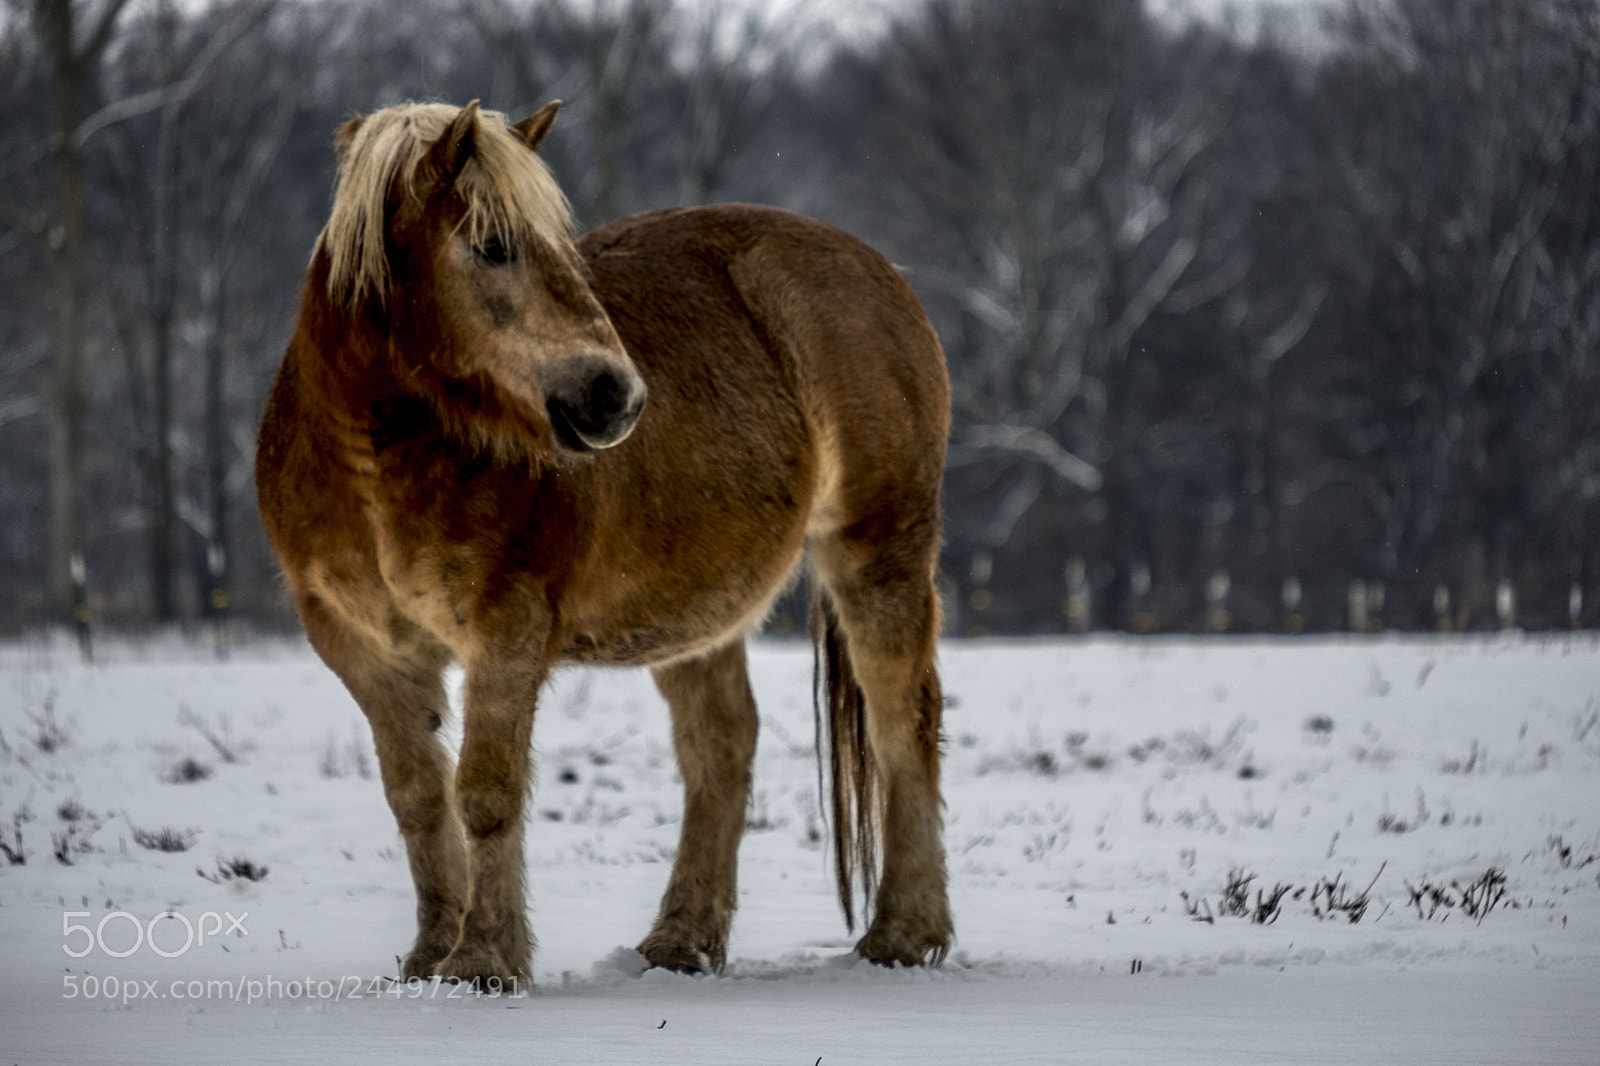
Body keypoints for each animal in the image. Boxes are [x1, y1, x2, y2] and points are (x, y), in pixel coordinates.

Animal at [255, 100, 952, 984]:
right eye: (493, 246)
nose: (615, 396)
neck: (378, 463)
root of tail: (879, 270)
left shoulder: (507, 631)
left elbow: (485, 793)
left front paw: (483, 958)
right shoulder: (361, 648)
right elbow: (416, 798)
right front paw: (429, 953)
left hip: (878, 553)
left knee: (904, 723)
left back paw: (905, 933)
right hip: (696, 612)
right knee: (722, 746)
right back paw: (681, 940)